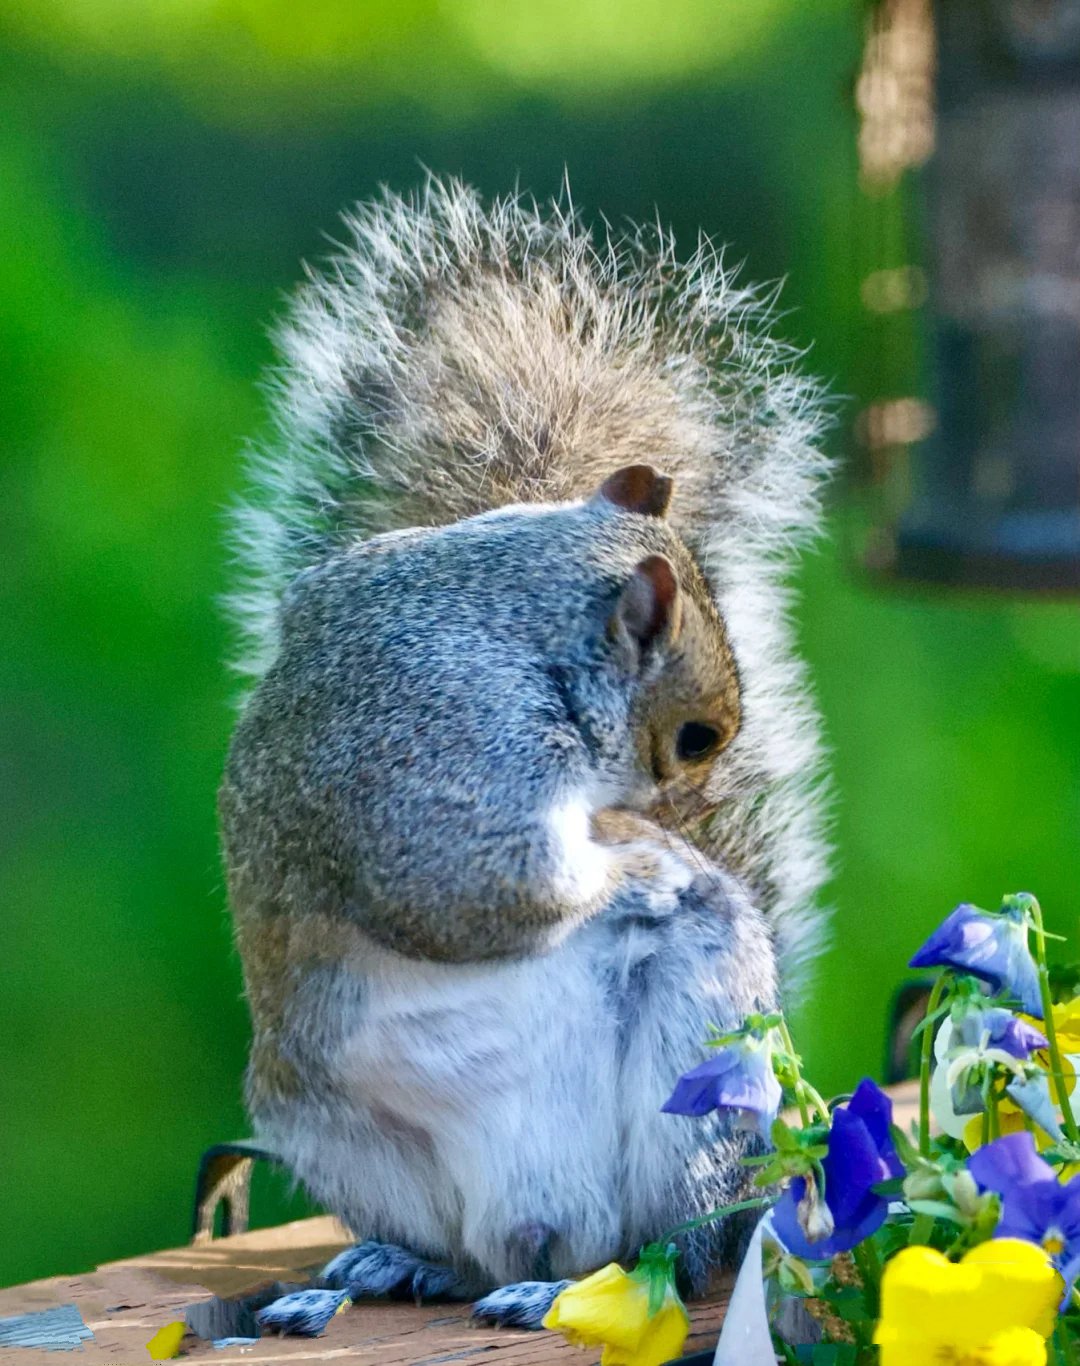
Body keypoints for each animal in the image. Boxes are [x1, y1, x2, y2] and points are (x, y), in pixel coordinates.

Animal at [215, 176, 830, 1316]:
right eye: (696, 733)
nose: (678, 812)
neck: (509, 619)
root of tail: (541, 1216)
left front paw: (656, 858)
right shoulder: (446, 758)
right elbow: (486, 888)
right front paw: (642, 861)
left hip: (693, 1092)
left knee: (662, 1253)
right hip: (336, 1129)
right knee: (480, 1255)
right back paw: (405, 1260)